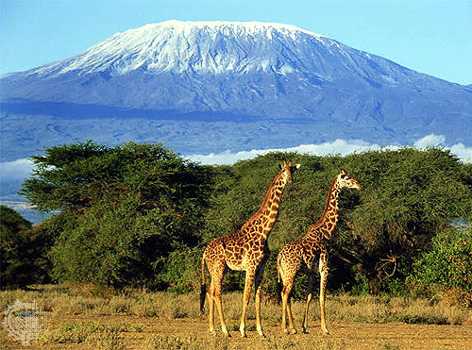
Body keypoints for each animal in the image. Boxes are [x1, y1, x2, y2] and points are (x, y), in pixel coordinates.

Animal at [200, 161, 302, 336]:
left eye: (292, 170)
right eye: (283, 170)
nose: (290, 181)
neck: (264, 231)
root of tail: (205, 252)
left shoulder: (261, 267)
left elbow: (258, 296)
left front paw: (261, 331)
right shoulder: (250, 266)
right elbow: (246, 295)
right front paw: (243, 330)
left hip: (216, 269)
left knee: (210, 291)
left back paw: (213, 329)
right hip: (218, 268)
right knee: (217, 293)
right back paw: (225, 330)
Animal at [274, 171, 360, 334]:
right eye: (347, 178)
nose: (359, 185)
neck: (325, 232)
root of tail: (280, 256)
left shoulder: (311, 272)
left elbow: (309, 296)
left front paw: (304, 327)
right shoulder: (324, 268)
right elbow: (322, 297)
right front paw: (325, 329)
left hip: (285, 272)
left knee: (285, 293)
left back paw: (292, 328)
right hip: (291, 271)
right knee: (285, 293)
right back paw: (285, 329)